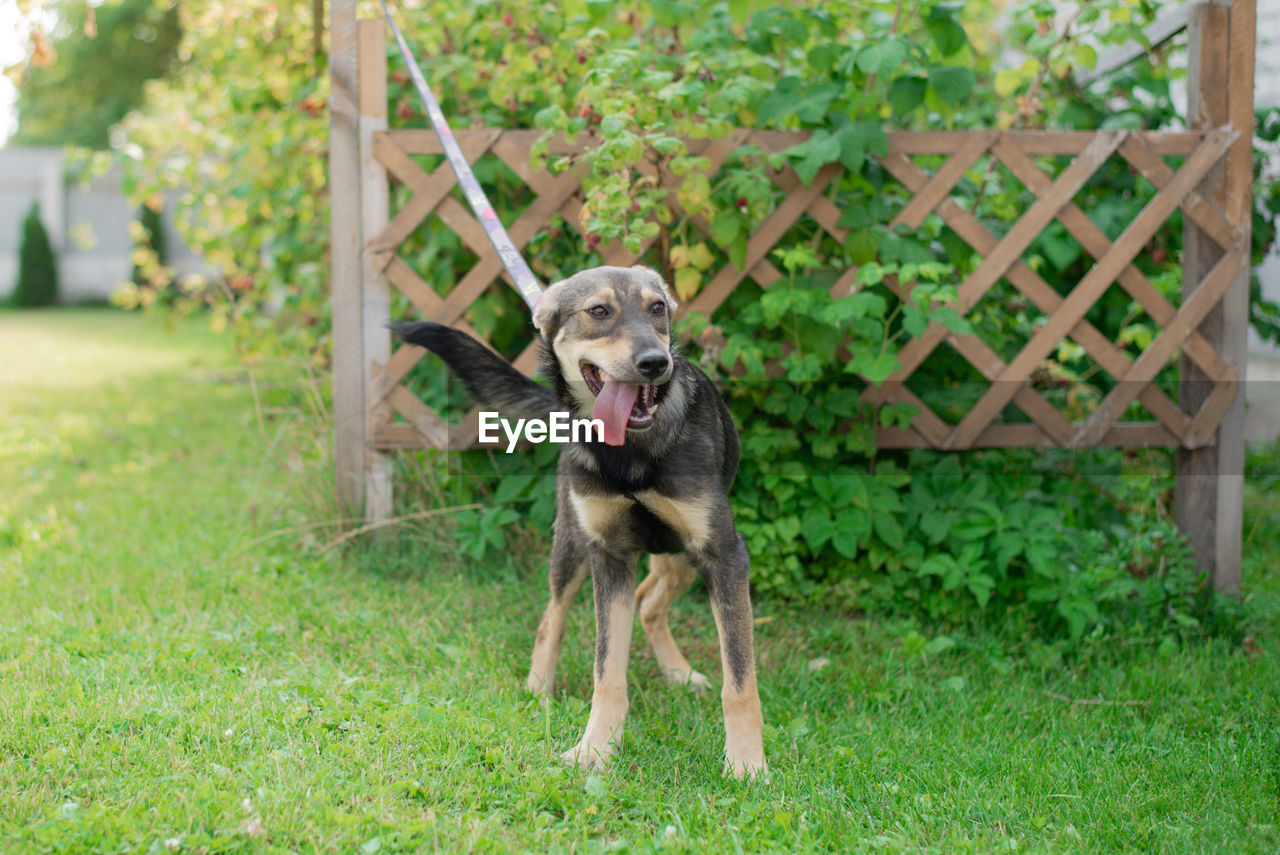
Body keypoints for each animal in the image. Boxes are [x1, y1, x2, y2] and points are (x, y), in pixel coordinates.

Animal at [394, 263, 762, 778]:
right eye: (599, 311)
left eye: (658, 308)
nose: (655, 362)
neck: (628, 451)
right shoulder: (608, 556)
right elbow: (606, 671)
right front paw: (595, 750)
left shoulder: (724, 554)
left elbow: (740, 680)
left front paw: (747, 765)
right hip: (572, 544)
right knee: (554, 616)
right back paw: (538, 689)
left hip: (684, 555)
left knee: (649, 601)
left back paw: (678, 673)